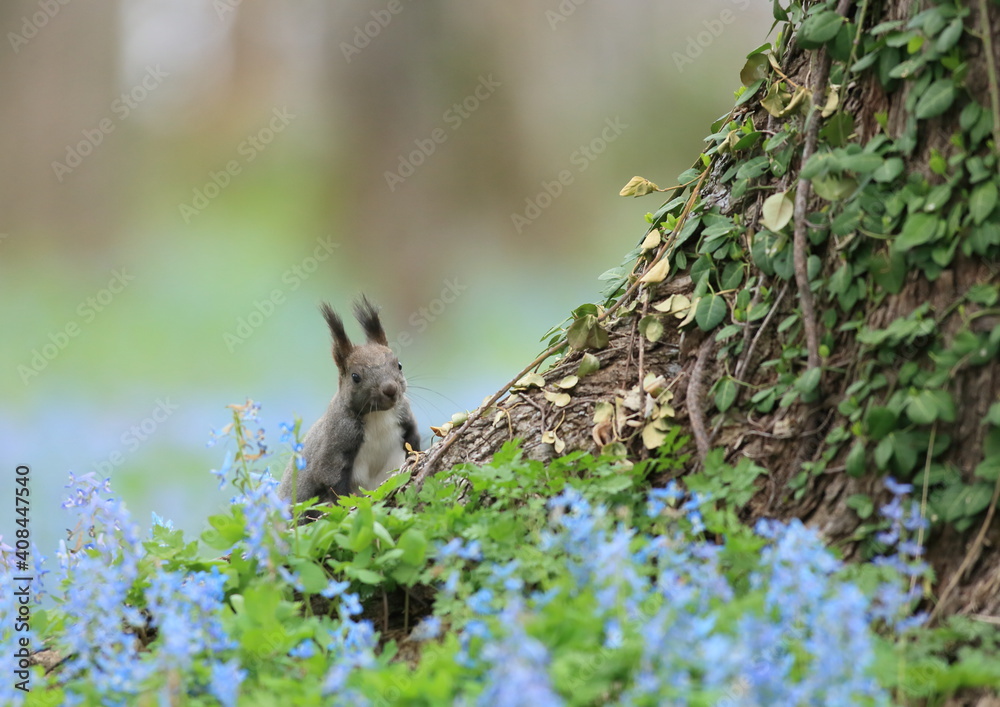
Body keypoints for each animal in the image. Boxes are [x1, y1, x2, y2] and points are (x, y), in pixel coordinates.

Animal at [280, 296, 420, 506]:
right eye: (355, 377)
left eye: (399, 365)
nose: (390, 389)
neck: (378, 415)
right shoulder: (336, 444)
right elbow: (335, 484)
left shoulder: (405, 417)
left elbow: (414, 443)